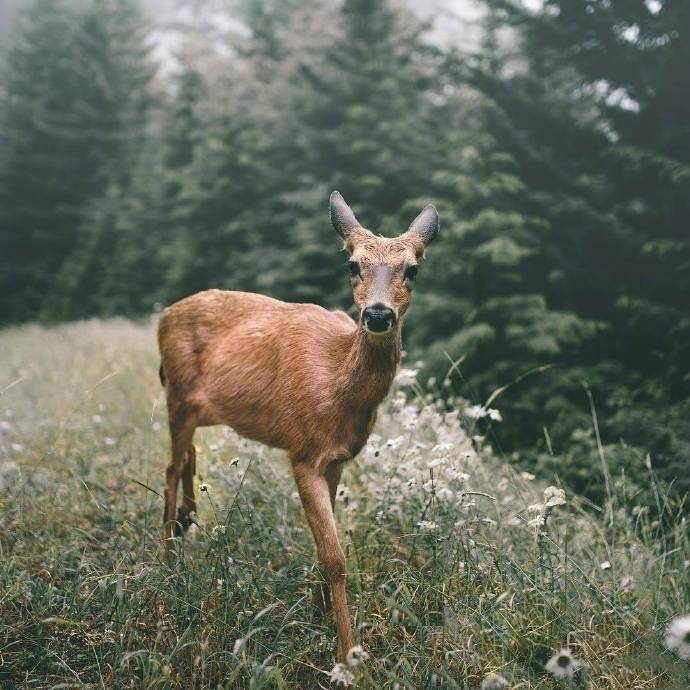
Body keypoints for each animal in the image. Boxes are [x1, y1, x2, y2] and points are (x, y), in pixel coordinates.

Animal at [157, 191, 438, 660]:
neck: (337, 385)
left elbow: (330, 544)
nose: (378, 315)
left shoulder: (339, 457)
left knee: (188, 458)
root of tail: (164, 315)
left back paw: (185, 524)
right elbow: (335, 557)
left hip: (197, 410)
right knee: (171, 468)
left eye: (413, 268)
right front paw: (349, 655)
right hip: (175, 397)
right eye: (352, 264)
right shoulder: (303, 451)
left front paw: (320, 615)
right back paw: (166, 560)